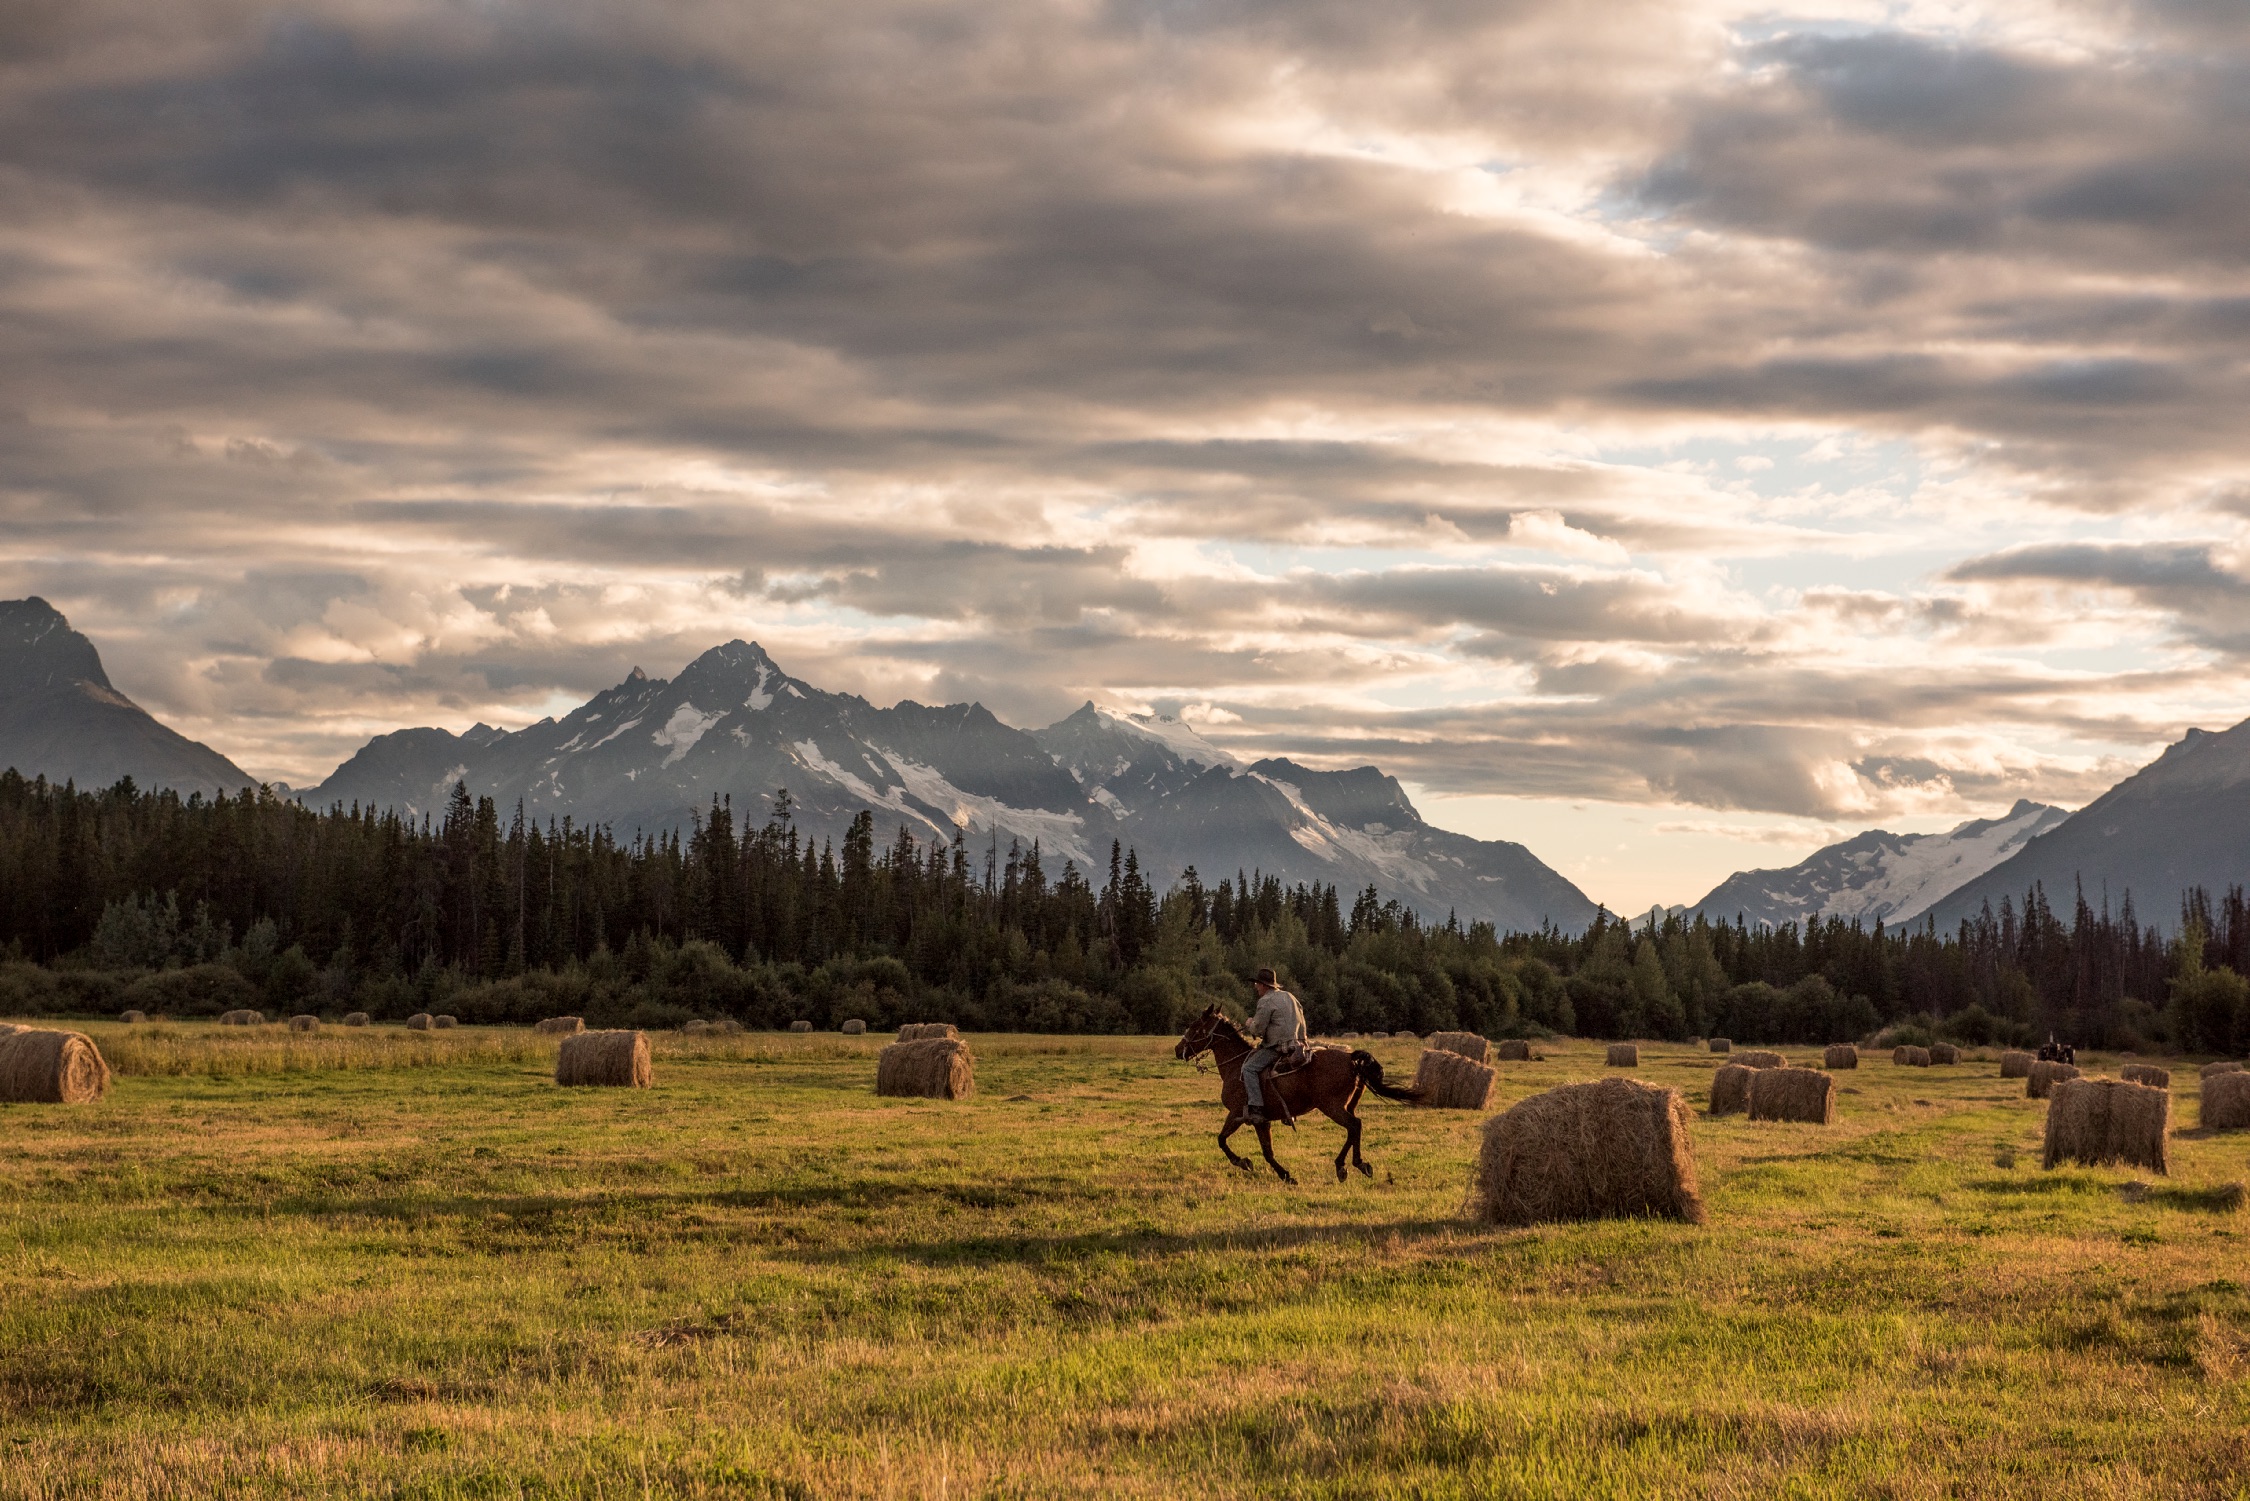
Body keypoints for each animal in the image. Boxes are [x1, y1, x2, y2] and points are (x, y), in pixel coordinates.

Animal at [1179, 1008, 1422, 1188]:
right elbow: (1265, 1150)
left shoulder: (1240, 1113)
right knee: (1355, 1128)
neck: (1236, 1065)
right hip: (1347, 1105)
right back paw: (1351, 1165)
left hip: (1332, 1107)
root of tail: (1350, 1058)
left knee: (1354, 1125)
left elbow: (1225, 1141)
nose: (1178, 1049)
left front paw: (1249, 1164)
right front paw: (1281, 1173)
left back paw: (1347, 1165)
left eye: (1195, 1027)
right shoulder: (1261, 1120)